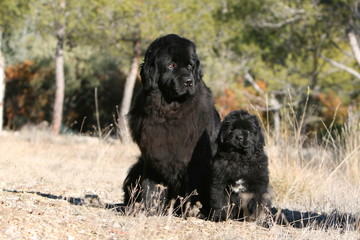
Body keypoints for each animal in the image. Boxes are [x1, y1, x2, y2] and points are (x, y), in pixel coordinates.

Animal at [123, 34, 219, 216]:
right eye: (171, 65)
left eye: (189, 65)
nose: (189, 81)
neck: (170, 113)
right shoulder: (152, 156)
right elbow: (151, 187)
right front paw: (149, 208)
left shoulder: (194, 162)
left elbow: (191, 189)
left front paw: (190, 210)